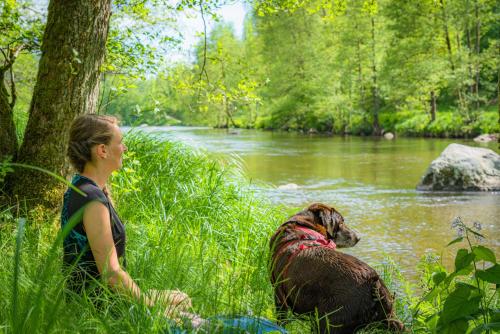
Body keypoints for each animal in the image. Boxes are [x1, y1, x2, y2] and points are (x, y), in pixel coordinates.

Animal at [270, 202, 402, 332]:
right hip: (389, 317)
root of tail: (373, 281)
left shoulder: (280, 299)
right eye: (341, 223)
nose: (358, 238)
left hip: (328, 321)